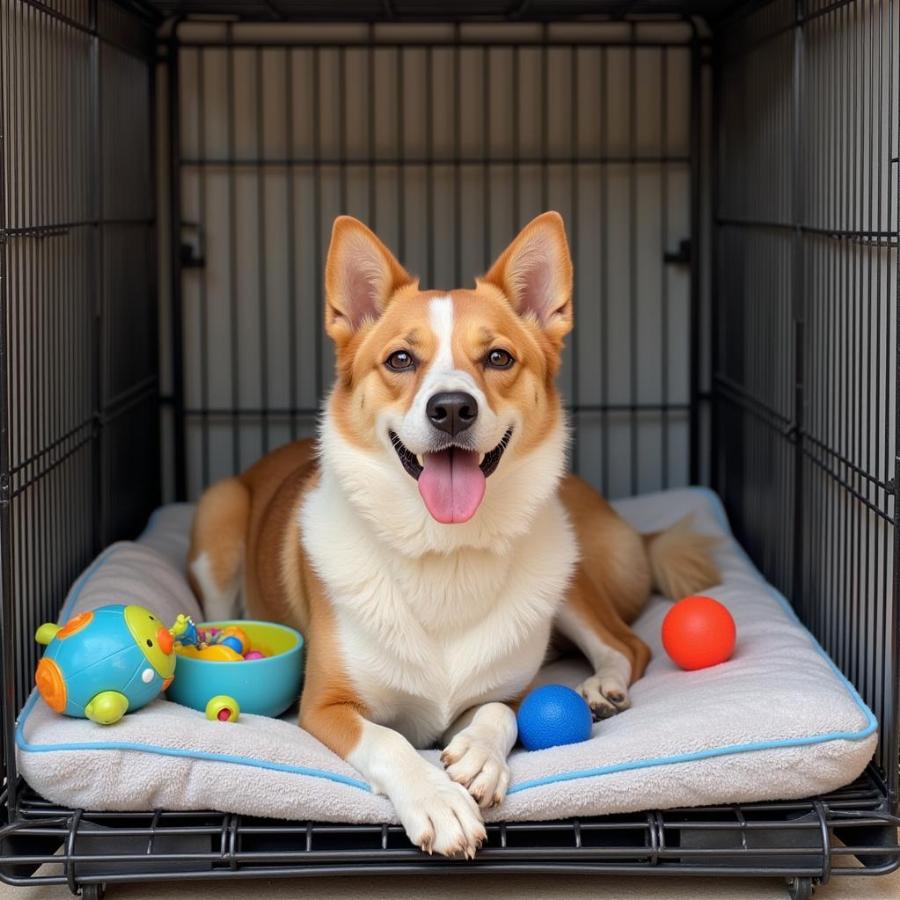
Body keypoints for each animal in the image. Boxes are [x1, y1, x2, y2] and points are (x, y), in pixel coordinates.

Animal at [188, 209, 716, 856]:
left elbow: (501, 712)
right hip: (219, 510)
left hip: (565, 573)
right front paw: (437, 801)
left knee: (626, 645)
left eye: (498, 358)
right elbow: (389, 741)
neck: (445, 552)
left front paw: (481, 759)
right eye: (399, 360)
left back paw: (599, 690)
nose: (452, 409)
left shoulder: (513, 689)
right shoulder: (325, 705)